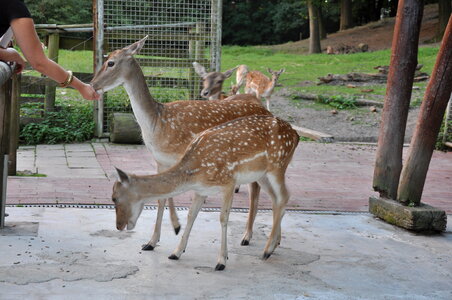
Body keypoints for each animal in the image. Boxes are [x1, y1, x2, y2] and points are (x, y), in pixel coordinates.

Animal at [90, 38, 270, 253]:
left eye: (111, 63)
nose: (92, 84)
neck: (157, 123)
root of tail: (263, 107)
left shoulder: (182, 155)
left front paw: (176, 227)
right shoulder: (160, 160)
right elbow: (161, 197)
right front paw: (152, 241)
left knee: (255, 190)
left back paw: (247, 236)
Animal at [112, 114, 300, 270]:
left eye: (115, 198)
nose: (118, 226)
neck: (195, 172)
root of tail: (296, 135)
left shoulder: (229, 182)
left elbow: (223, 218)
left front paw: (221, 261)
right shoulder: (201, 190)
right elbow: (191, 215)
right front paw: (176, 252)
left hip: (277, 166)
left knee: (284, 196)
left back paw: (266, 251)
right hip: (262, 175)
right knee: (277, 199)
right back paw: (274, 245)